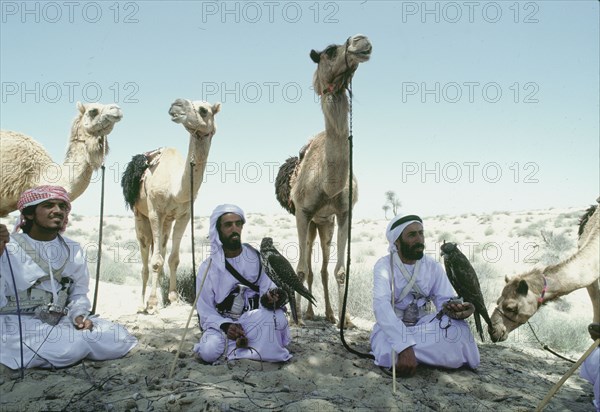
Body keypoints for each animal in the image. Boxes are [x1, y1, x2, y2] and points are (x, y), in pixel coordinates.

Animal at [120, 100, 221, 312]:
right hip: (139, 217)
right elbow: (155, 262)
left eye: (204, 110)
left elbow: (173, 258)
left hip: (166, 222)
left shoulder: (184, 215)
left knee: (162, 249)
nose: (176, 105)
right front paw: (152, 302)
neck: (176, 189)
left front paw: (172, 298)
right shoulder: (155, 213)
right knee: (145, 259)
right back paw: (141, 304)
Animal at [276, 33, 370, 326]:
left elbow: (339, 271)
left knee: (324, 269)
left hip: (324, 224)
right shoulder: (302, 212)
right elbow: (300, 270)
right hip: (310, 223)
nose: (362, 41)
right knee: (307, 265)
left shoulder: (344, 212)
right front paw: (297, 319)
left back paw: (328, 313)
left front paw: (344, 320)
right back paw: (307, 313)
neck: (327, 183)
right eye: (330, 50)